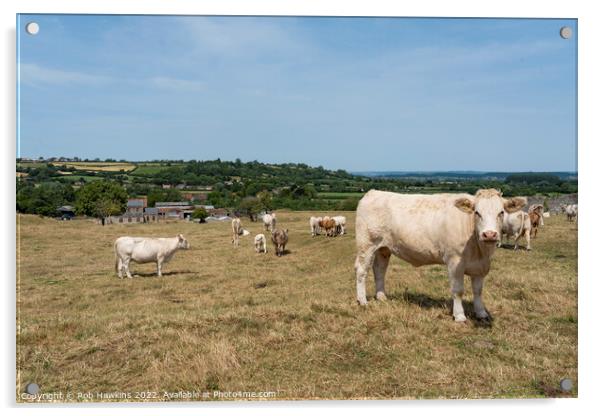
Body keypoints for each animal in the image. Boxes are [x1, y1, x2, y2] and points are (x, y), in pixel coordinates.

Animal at [354, 188, 524, 322]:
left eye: (501, 212)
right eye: (477, 212)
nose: (489, 234)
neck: (480, 251)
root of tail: (373, 192)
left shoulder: (480, 266)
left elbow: (478, 291)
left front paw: (481, 313)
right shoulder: (455, 262)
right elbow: (458, 290)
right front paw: (459, 315)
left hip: (383, 248)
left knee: (379, 270)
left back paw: (381, 297)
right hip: (366, 245)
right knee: (362, 271)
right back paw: (362, 301)